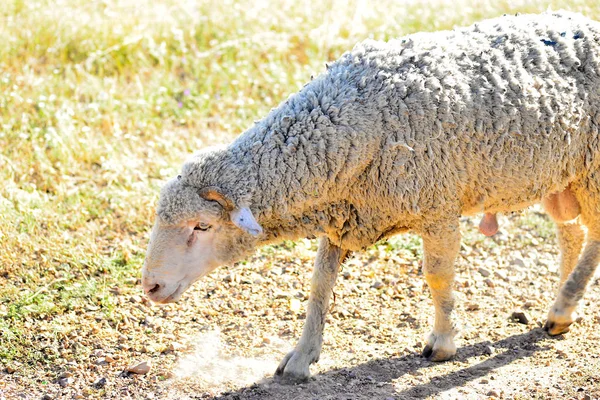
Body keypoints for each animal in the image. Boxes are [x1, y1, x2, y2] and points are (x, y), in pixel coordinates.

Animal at [143, 10, 600, 382]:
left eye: (202, 226)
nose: (150, 287)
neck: (352, 119)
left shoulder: (438, 206)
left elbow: (437, 276)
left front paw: (443, 343)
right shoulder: (344, 213)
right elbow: (319, 286)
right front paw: (301, 358)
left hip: (592, 168)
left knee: (592, 237)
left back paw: (561, 308)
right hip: (562, 176)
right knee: (571, 234)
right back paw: (564, 306)